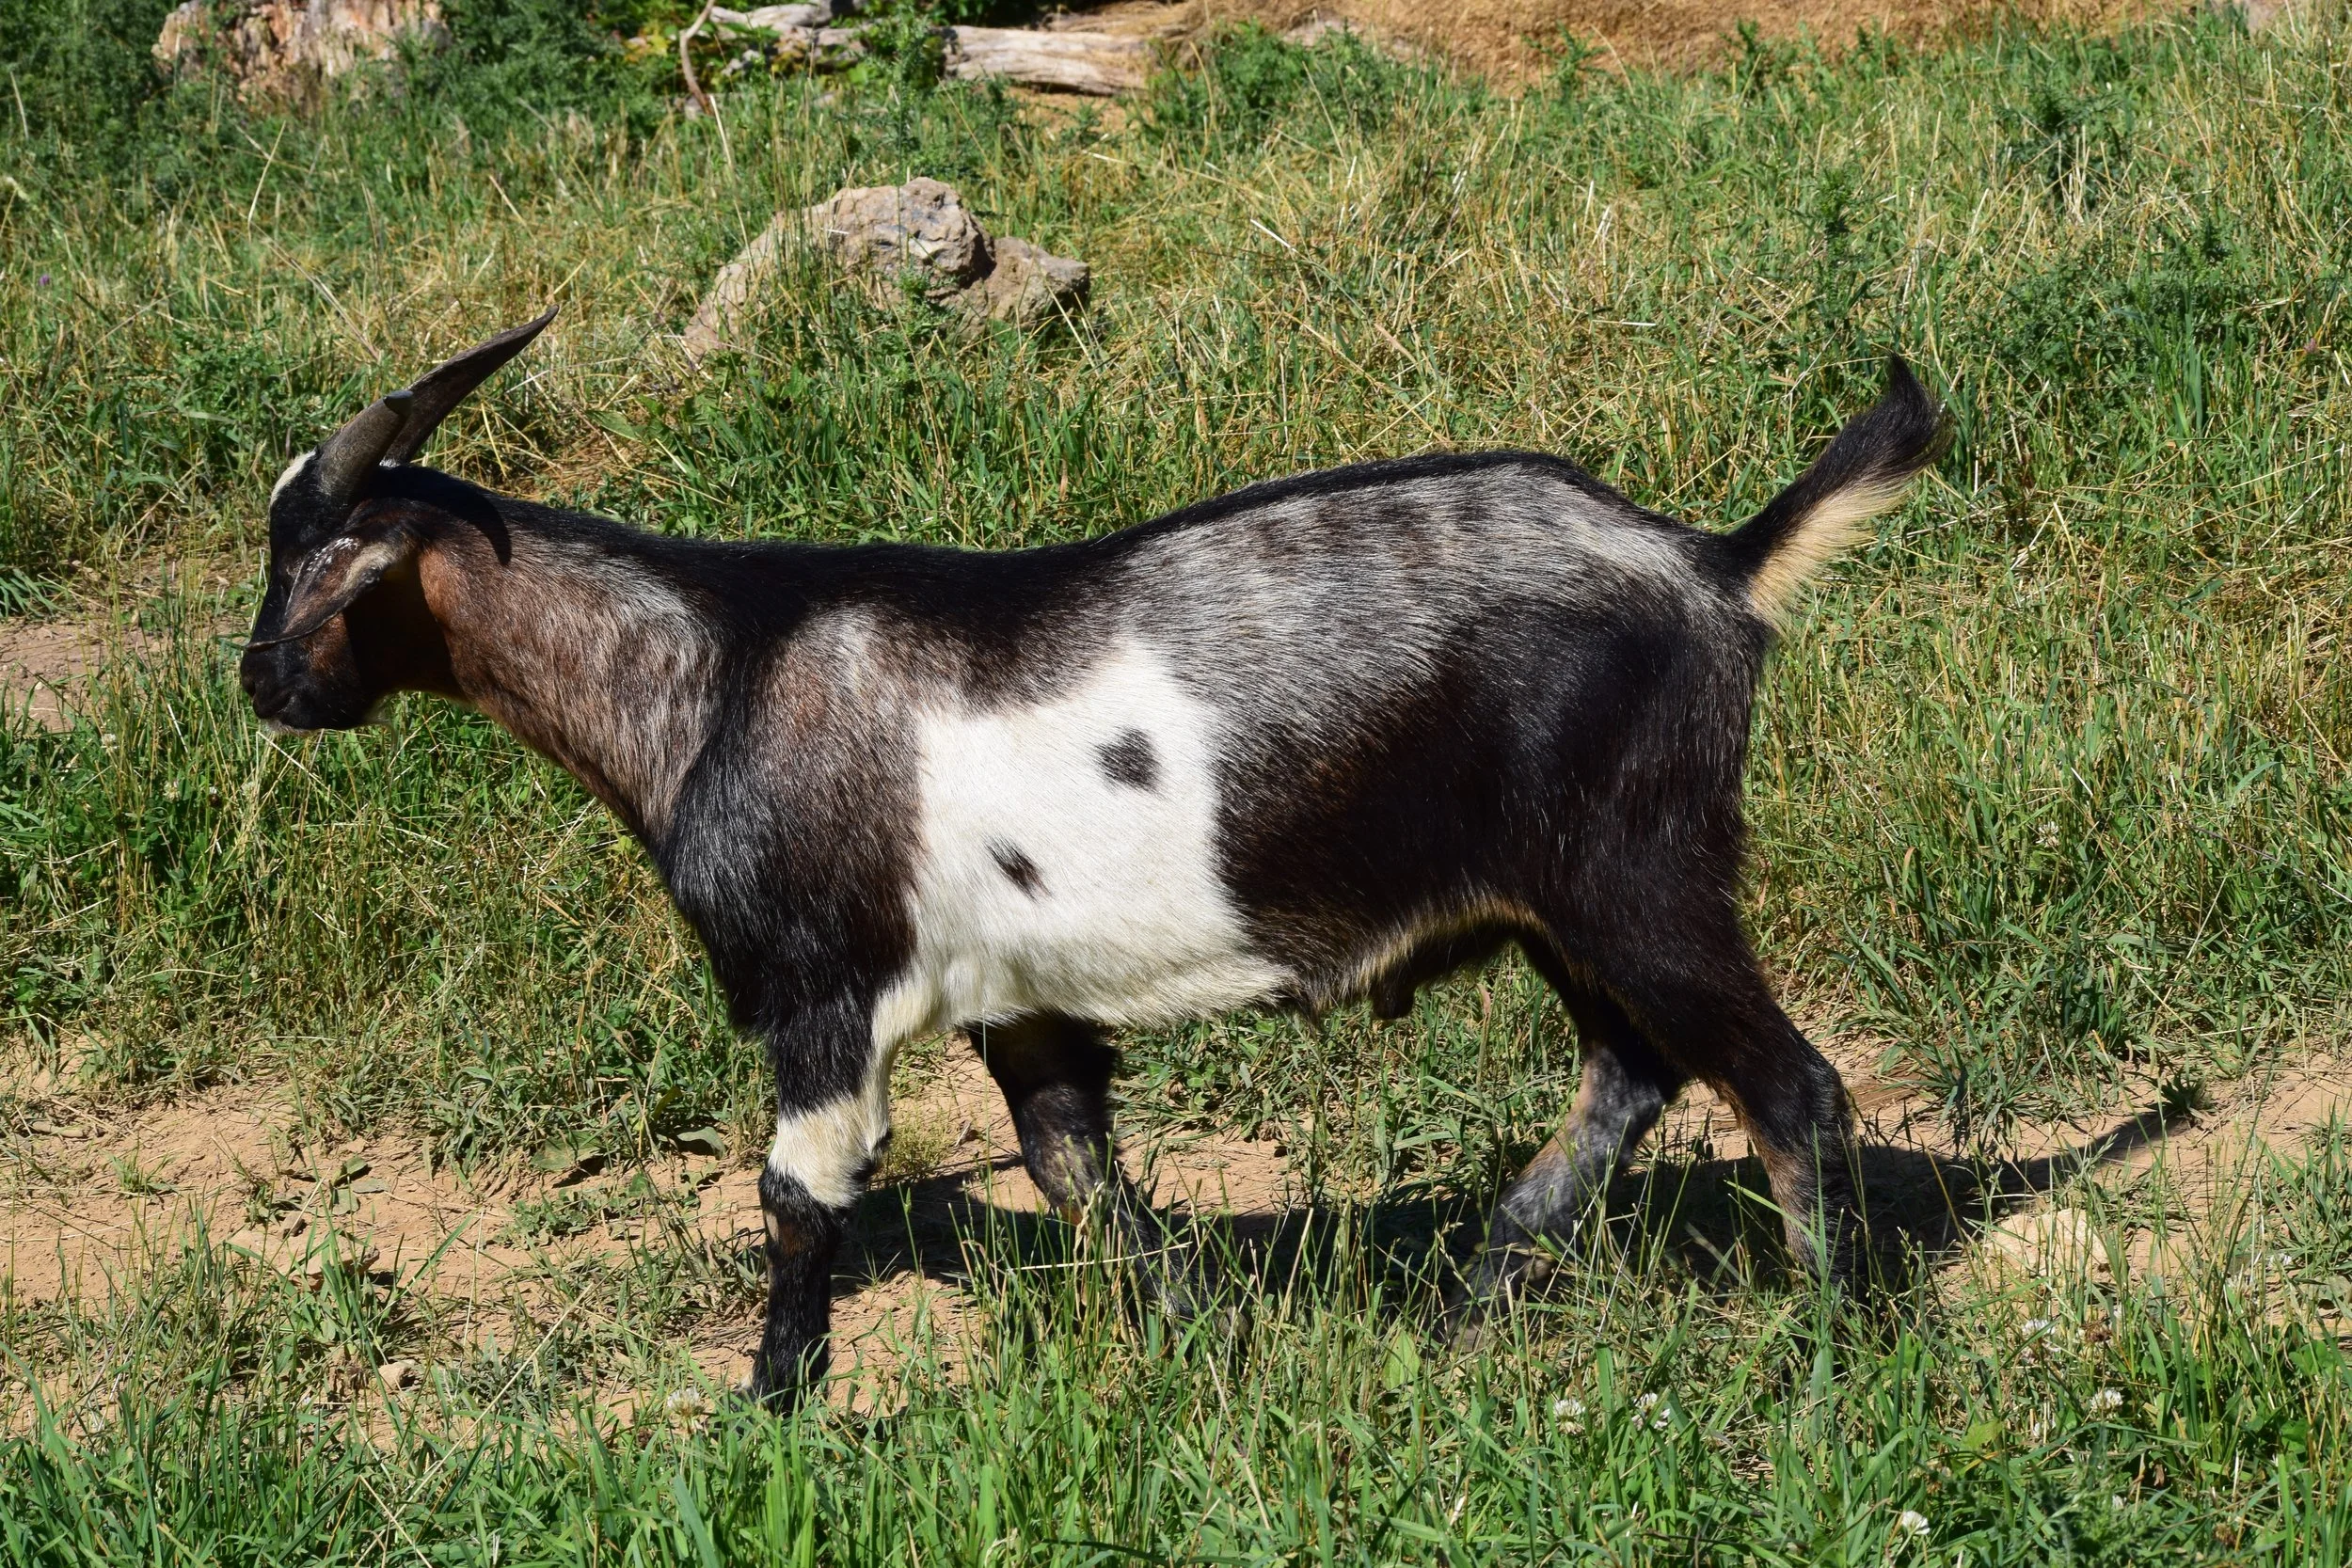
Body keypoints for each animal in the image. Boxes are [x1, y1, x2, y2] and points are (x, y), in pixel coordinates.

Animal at [241, 309, 1944, 1406]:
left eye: (311, 561)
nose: (263, 683)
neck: (715, 670)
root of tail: (1715, 563)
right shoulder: (1023, 1000)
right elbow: (1080, 1171)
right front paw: (1207, 1350)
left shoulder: (823, 988)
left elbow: (802, 1196)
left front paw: (768, 1416)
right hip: (1561, 902)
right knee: (1633, 1067)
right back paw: (1478, 1293)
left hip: (1639, 868)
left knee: (1787, 1083)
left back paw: (1828, 1362)